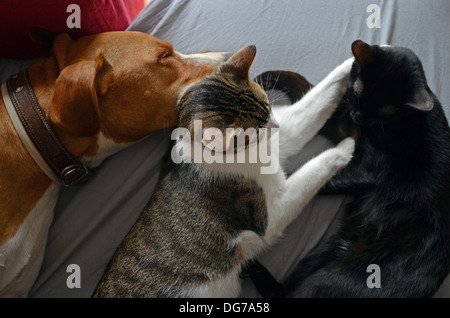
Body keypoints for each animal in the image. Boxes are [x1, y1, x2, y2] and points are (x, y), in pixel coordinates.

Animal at [94, 44, 356, 298]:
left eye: (268, 105)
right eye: (256, 130)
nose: (275, 126)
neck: (244, 153)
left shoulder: (285, 136)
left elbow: (317, 100)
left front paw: (355, 61)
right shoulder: (269, 215)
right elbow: (316, 167)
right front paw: (348, 147)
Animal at [250, 40, 450, 298]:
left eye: (384, 111)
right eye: (357, 94)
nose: (358, 117)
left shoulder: (367, 169)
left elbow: (326, 178)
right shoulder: (341, 121)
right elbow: (304, 84)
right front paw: (265, 78)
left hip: (327, 279)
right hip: (323, 252)